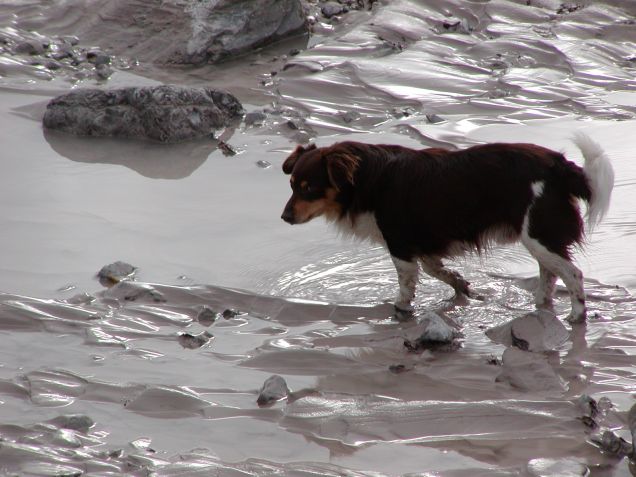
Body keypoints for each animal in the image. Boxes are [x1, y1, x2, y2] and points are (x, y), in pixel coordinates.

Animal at [280, 134, 612, 324]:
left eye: (308, 188)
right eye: (292, 185)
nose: (283, 217)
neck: (365, 178)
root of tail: (560, 165)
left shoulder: (399, 243)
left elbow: (406, 281)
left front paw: (401, 308)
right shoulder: (423, 241)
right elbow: (435, 269)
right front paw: (461, 285)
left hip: (539, 234)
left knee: (573, 273)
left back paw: (577, 315)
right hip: (538, 237)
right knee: (550, 272)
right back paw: (540, 304)